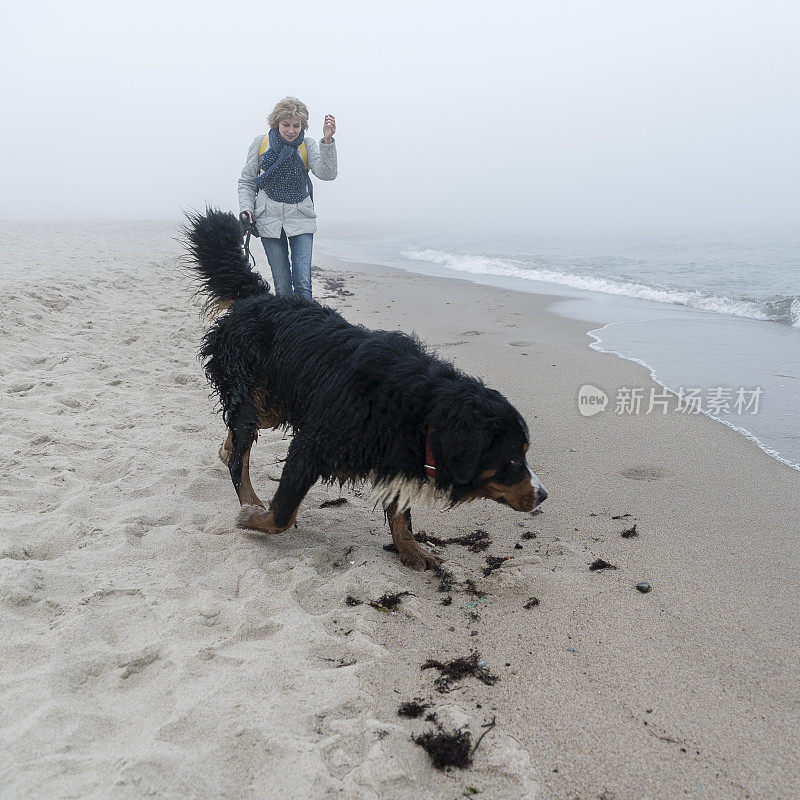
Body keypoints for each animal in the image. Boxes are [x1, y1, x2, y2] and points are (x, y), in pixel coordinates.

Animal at [182, 206, 548, 568]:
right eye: (513, 459)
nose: (543, 494)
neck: (419, 407)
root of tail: (254, 298)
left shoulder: (394, 454)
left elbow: (400, 515)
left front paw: (412, 550)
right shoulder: (313, 445)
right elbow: (283, 514)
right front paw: (252, 518)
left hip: (273, 402)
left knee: (241, 439)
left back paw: (227, 450)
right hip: (249, 393)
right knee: (239, 457)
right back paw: (249, 498)